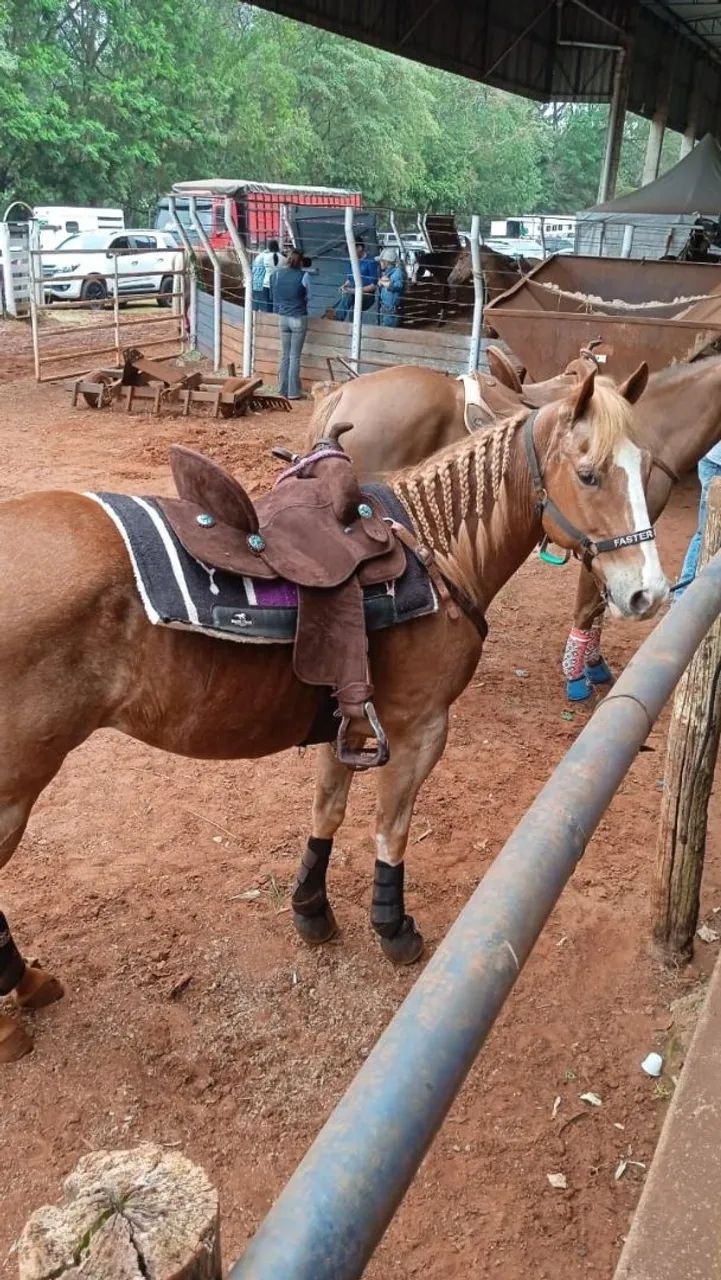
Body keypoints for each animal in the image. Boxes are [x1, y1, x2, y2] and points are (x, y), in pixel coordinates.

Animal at [0, 369, 667, 1061]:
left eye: (646, 466)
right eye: (589, 474)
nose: (648, 594)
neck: (436, 549)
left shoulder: (346, 717)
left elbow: (328, 811)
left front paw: (311, 908)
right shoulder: (419, 728)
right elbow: (389, 830)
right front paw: (392, 927)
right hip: (15, 789)